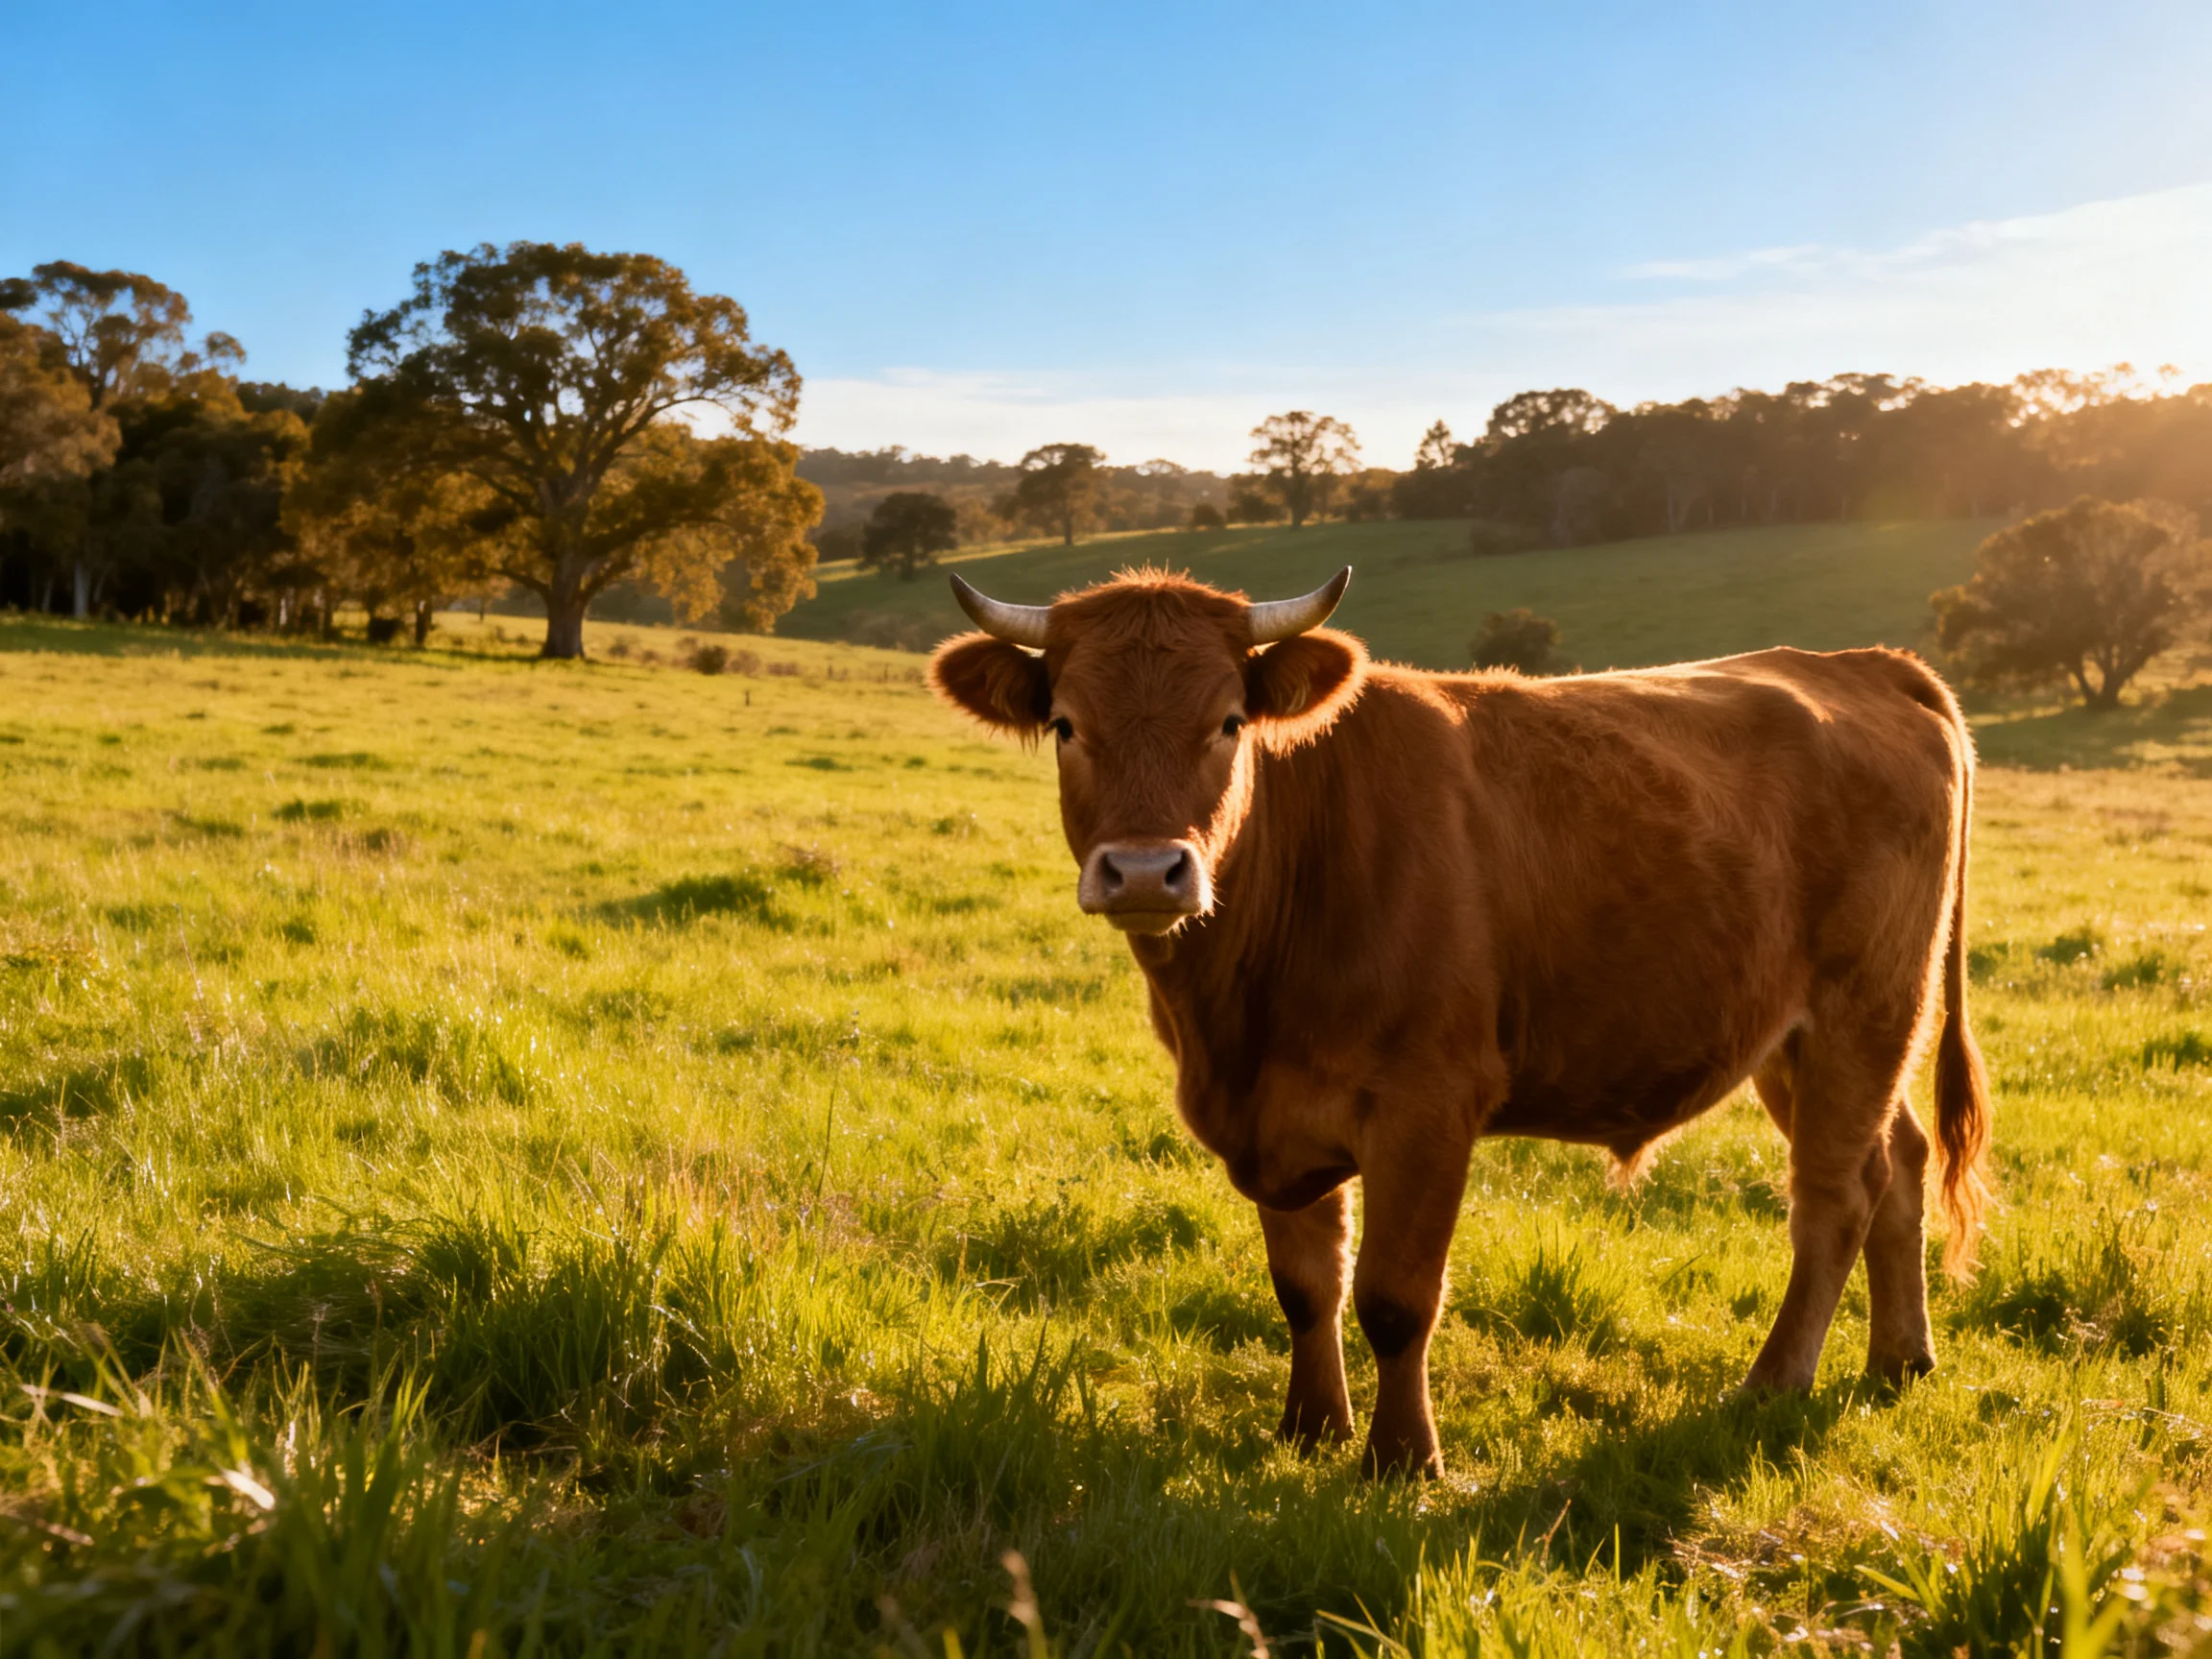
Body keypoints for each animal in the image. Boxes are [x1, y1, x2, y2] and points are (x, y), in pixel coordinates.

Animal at [928, 565, 1992, 1477]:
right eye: (1067, 725)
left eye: (1228, 722)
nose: (1148, 872)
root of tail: (1862, 663)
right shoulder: (1279, 1111)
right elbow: (1305, 1285)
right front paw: (1311, 1429)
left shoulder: (1428, 1106)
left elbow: (1395, 1297)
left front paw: (1402, 1459)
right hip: (1793, 1035)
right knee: (1895, 1161)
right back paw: (1899, 1359)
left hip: (1866, 1004)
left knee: (1834, 1197)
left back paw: (1773, 1383)